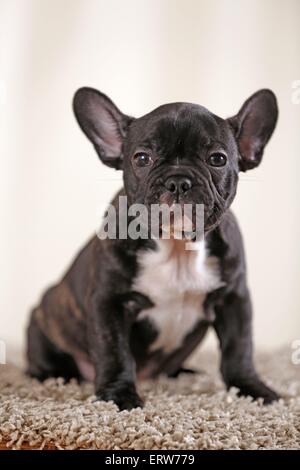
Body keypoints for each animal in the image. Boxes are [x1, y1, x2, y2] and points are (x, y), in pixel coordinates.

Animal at [27, 86, 280, 410]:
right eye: (142, 158)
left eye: (217, 158)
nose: (178, 181)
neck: (177, 246)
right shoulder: (109, 302)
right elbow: (114, 352)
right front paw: (119, 396)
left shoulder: (233, 299)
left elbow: (239, 349)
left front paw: (252, 389)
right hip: (42, 320)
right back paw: (55, 376)